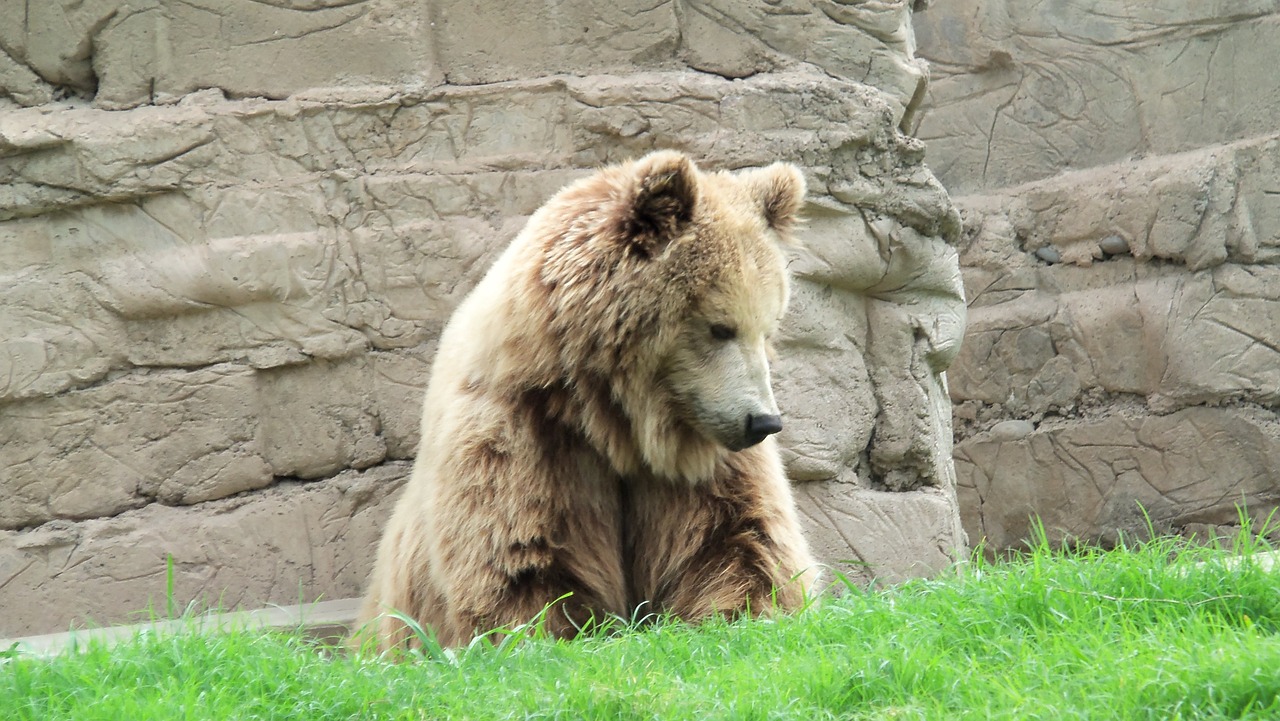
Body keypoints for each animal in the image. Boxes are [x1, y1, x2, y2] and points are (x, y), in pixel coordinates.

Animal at [358, 149, 819, 650]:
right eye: (720, 327)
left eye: (767, 329)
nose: (764, 423)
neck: (615, 422)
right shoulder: (523, 438)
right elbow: (525, 562)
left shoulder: (702, 456)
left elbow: (736, 540)